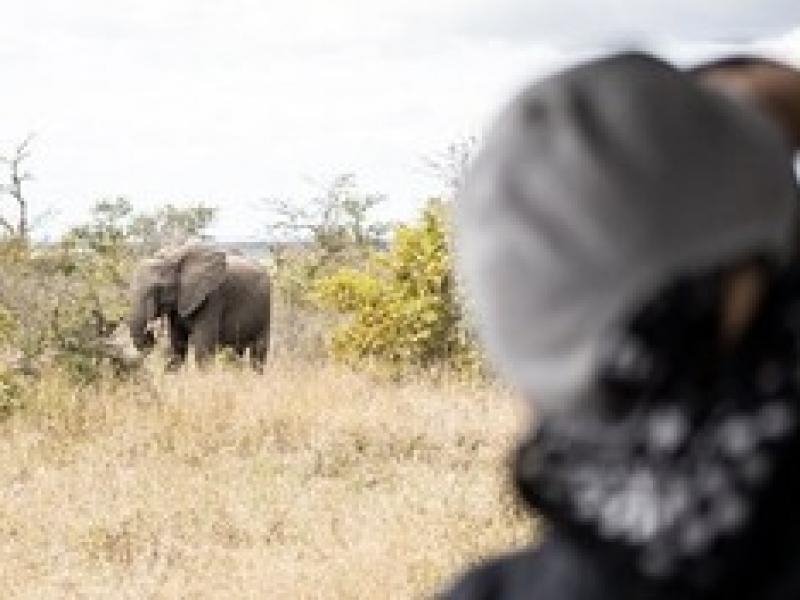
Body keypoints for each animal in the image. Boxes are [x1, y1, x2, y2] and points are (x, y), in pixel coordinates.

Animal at [129, 243, 270, 369]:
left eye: (158, 288)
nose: (150, 333)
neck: (174, 255)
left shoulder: (212, 297)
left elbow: (203, 348)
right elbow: (178, 346)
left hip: (265, 309)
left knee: (258, 352)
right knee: (235, 354)